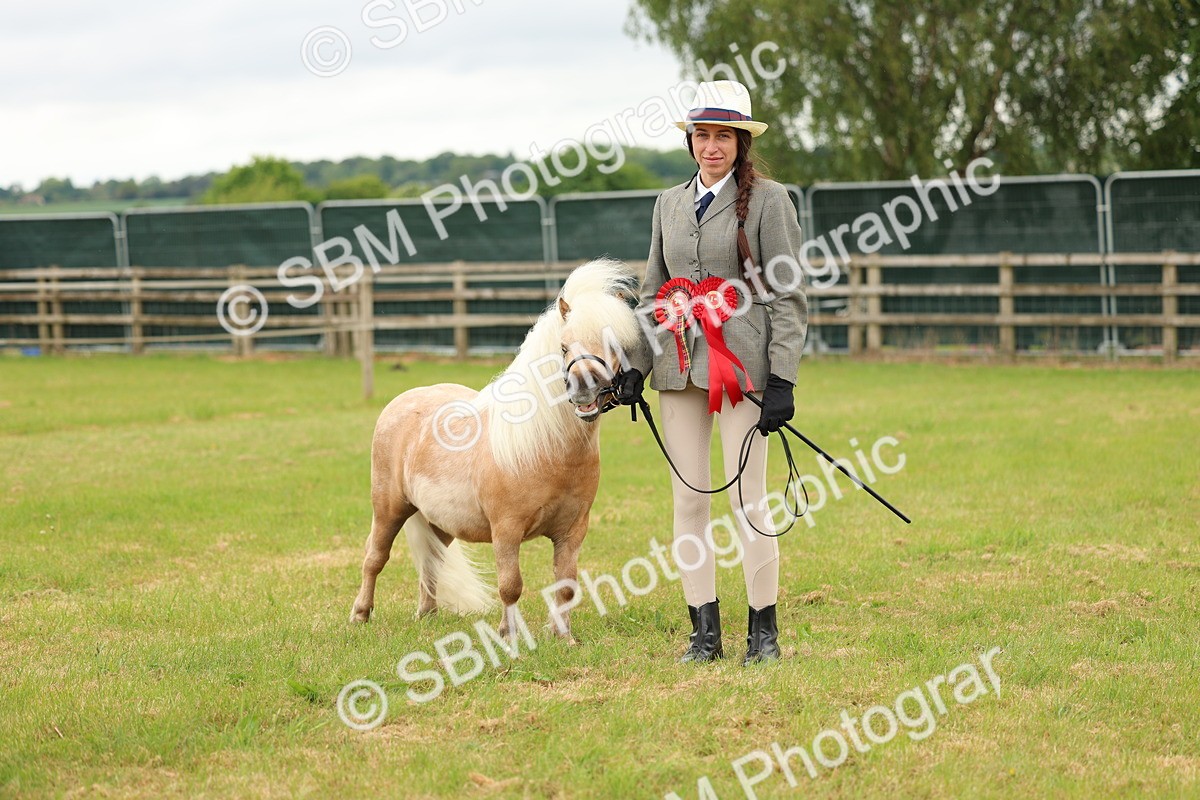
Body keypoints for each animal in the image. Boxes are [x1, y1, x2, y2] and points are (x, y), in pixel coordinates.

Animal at [349, 258, 645, 643]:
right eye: (564, 347)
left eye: (615, 345)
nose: (584, 389)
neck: (547, 450)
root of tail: (405, 399)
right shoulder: (506, 531)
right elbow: (511, 585)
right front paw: (508, 635)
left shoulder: (572, 532)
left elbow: (566, 586)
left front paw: (563, 637)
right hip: (388, 508)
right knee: (374, 557)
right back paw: (360, 614)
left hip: (439, 523)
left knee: (431, 561)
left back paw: (427, 614)